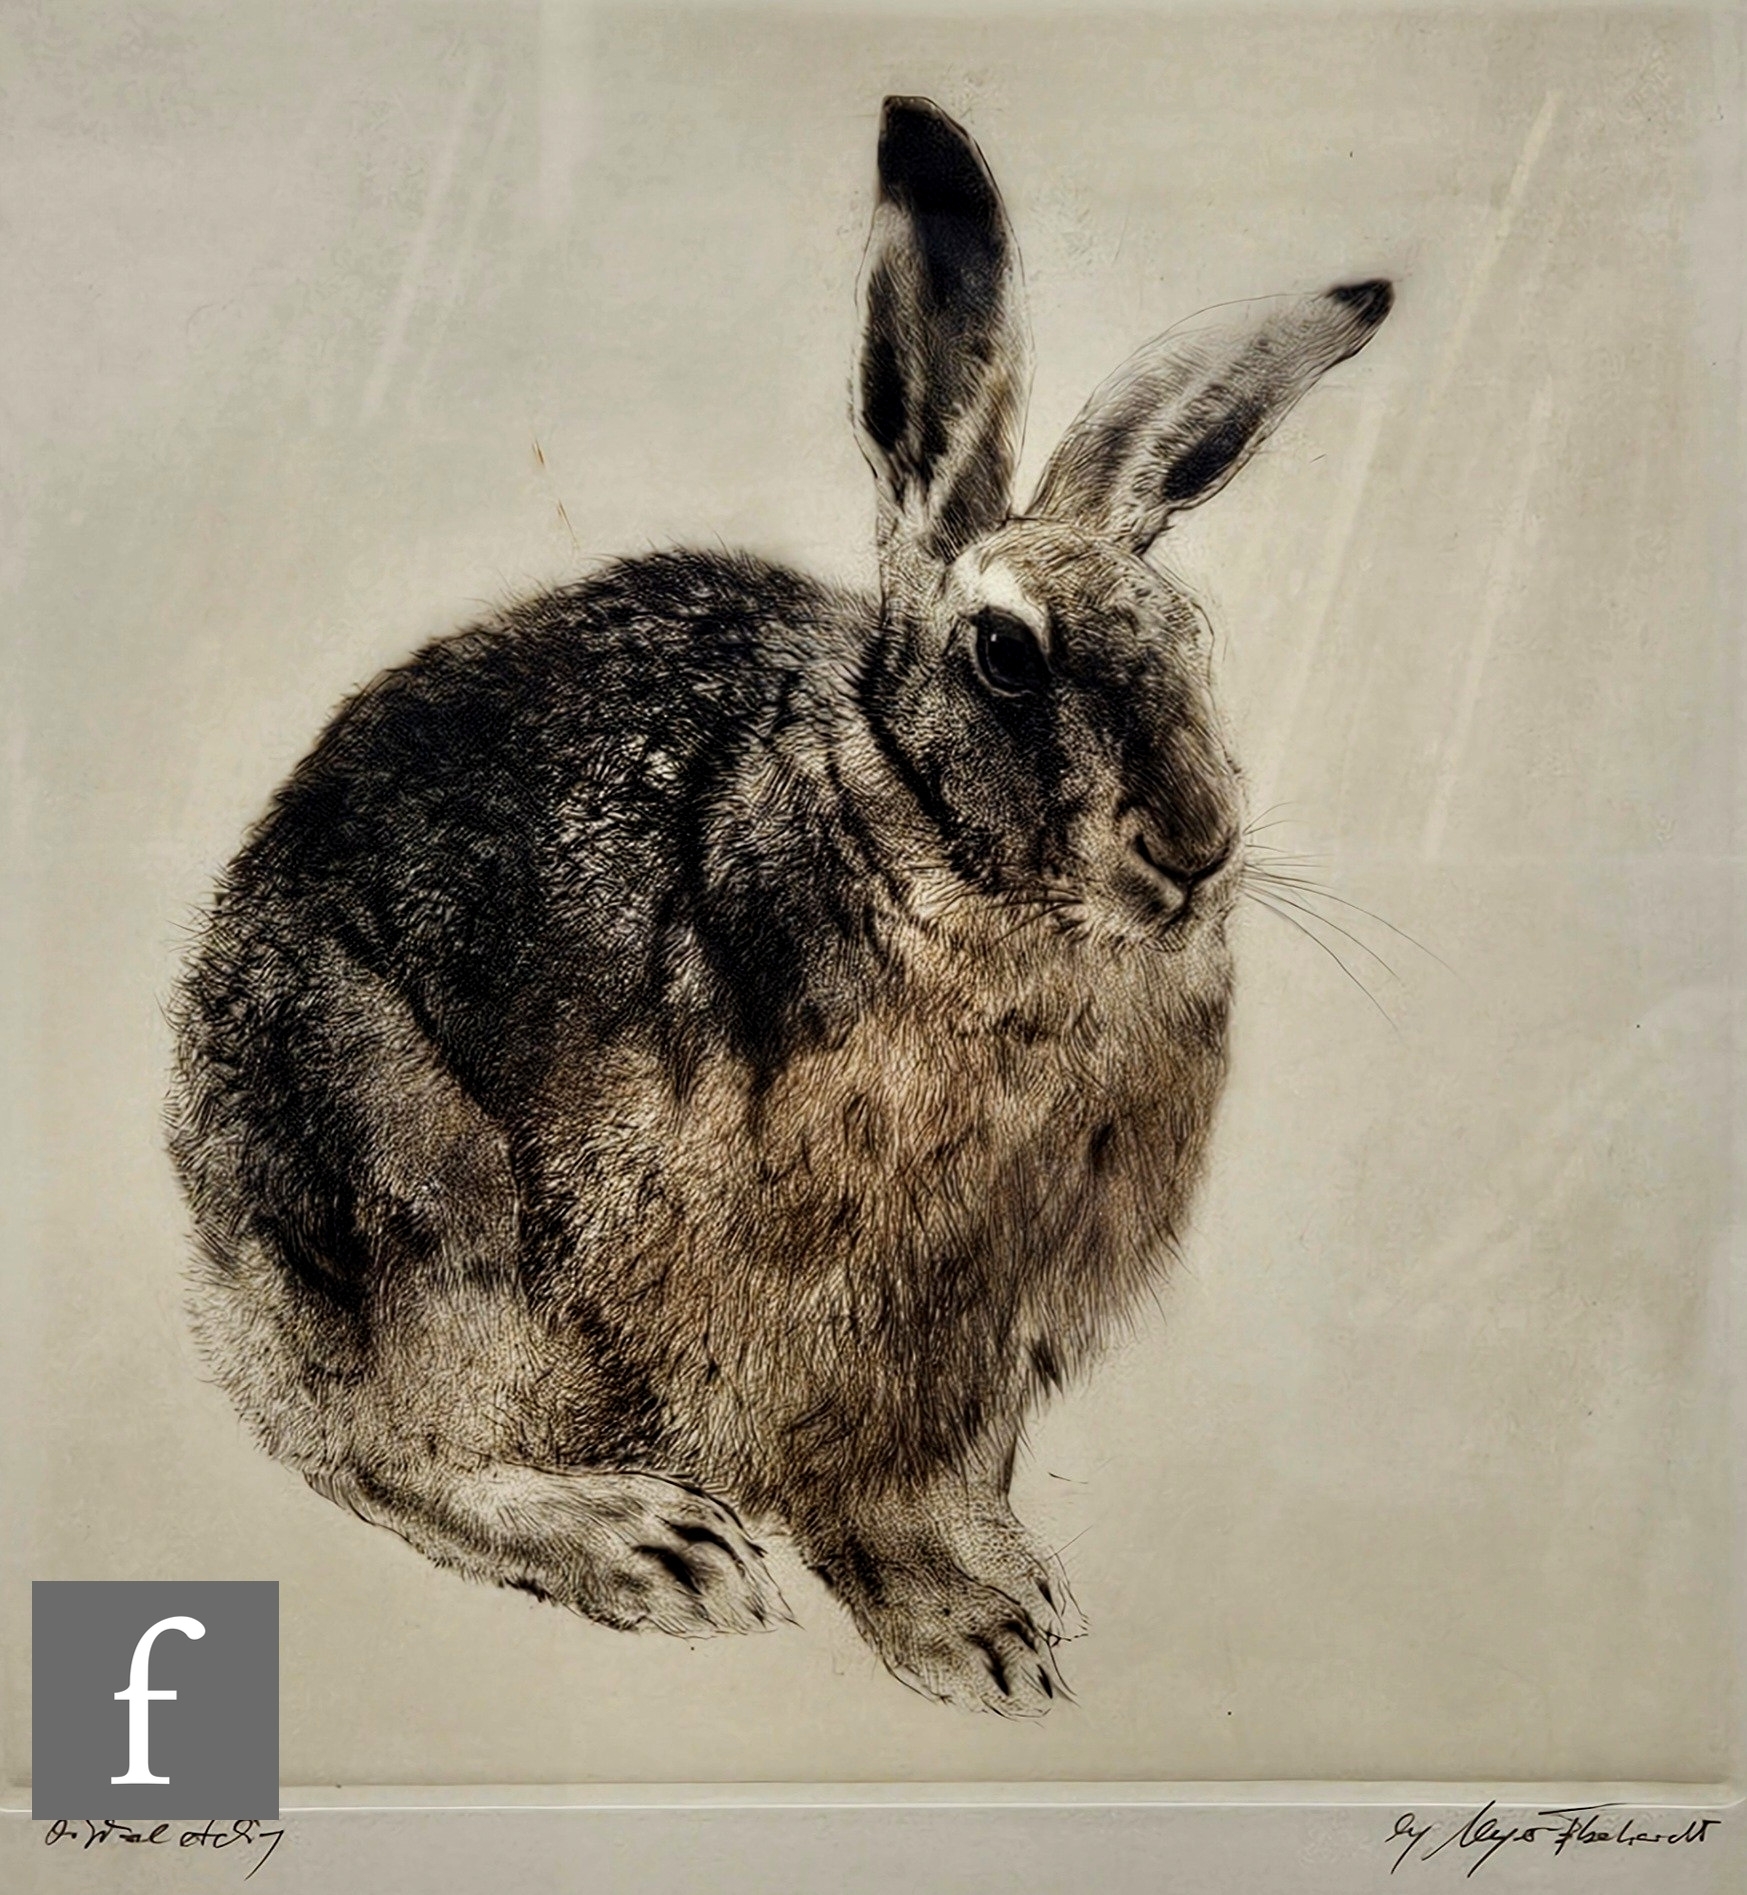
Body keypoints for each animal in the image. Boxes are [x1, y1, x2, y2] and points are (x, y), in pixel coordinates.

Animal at [167, 95, 1391, 1717]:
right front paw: (971, 1637)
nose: (1197, 845)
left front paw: (1021, 1588)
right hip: (416, 1200)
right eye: (1007, 654)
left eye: (1192, 636)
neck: (953, 874)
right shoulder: (802, 1306)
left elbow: (957, 1469)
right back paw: (649, 1545)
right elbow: (859, 1486)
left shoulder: (990, 1336)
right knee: (381, 1451)